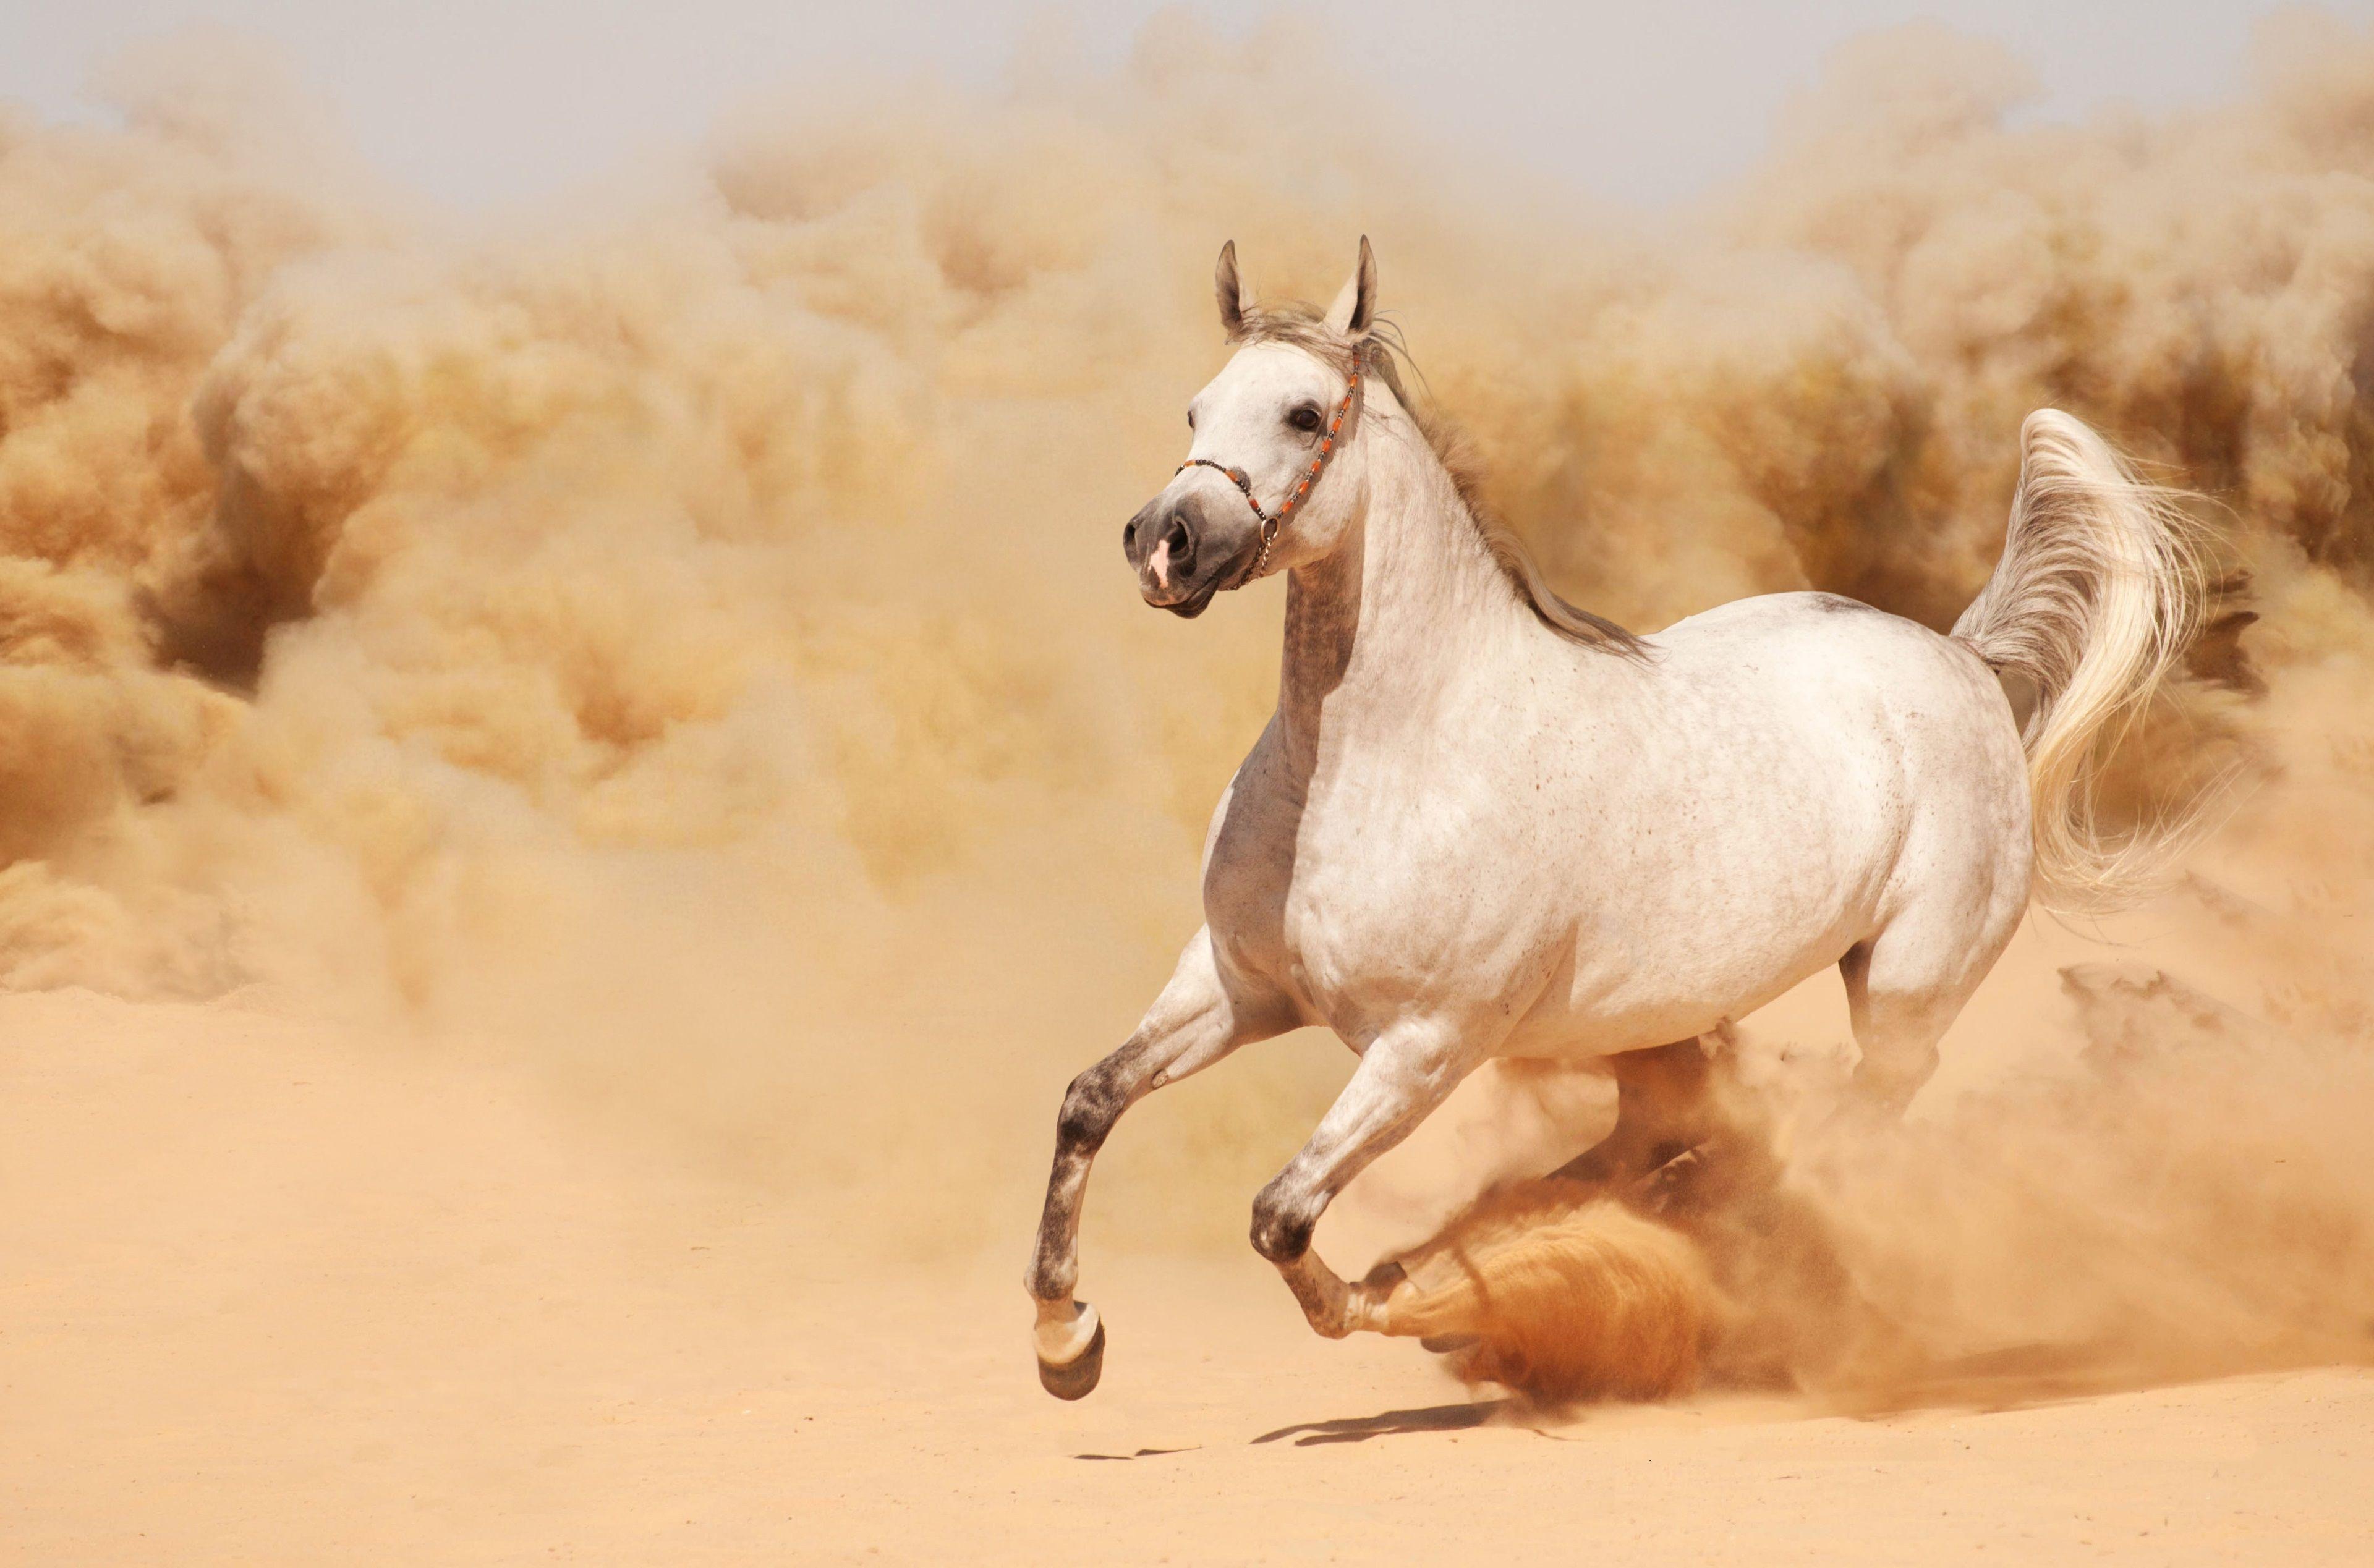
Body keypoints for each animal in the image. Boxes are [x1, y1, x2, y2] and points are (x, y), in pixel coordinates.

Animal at [1025, 238, 2205, 1399]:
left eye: (1304, 414)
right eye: (1195, 409)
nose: (1164, 543)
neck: (1382, 763)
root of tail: (1961, 659)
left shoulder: (1425, 1046)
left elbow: (1282, 1216)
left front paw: (1392, 1299)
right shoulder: (1237, 985)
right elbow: (1089, 1099)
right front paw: (1065, 1339)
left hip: (1905, 995)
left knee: (1838, 1134)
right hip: (1667, 1026)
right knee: (1673, 1140)